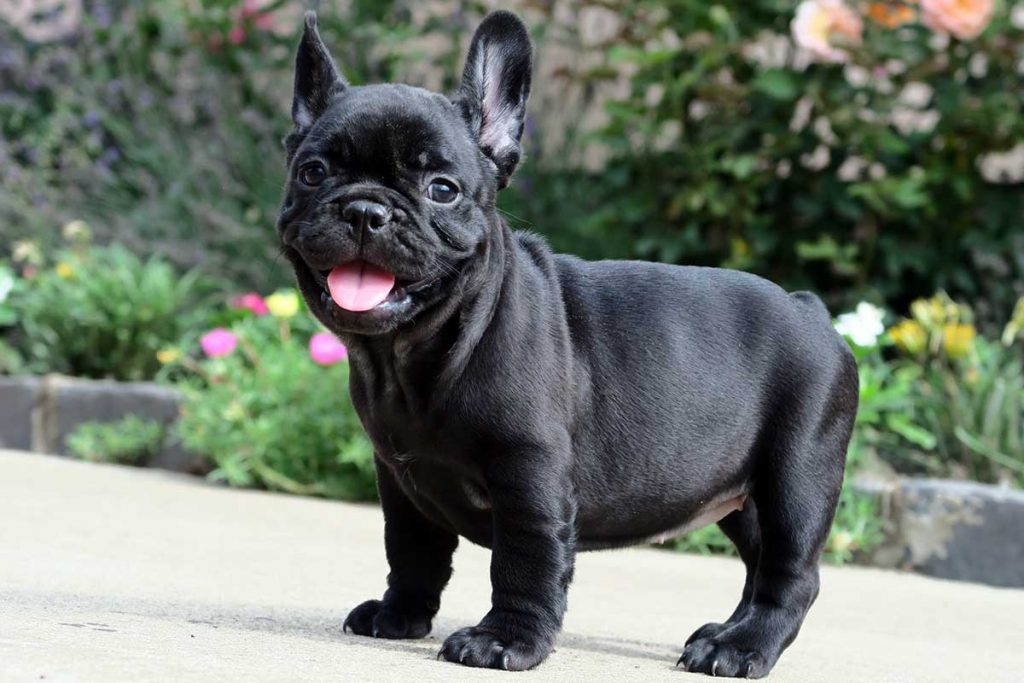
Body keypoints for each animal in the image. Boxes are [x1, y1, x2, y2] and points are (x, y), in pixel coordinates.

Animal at [276, 9, 860, 679]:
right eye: (314, 172)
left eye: (442, 189)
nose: (366, 210)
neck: (415, 354)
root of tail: (811, 309)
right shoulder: (400, 481)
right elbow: (412, 550)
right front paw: (400, 616)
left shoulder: (529, 473)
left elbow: (525, 562)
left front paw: (504, 640)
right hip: (738, 493)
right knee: (761, 560)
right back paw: (726, 632)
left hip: (795, 476)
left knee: (790, 571)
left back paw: (741, 647)